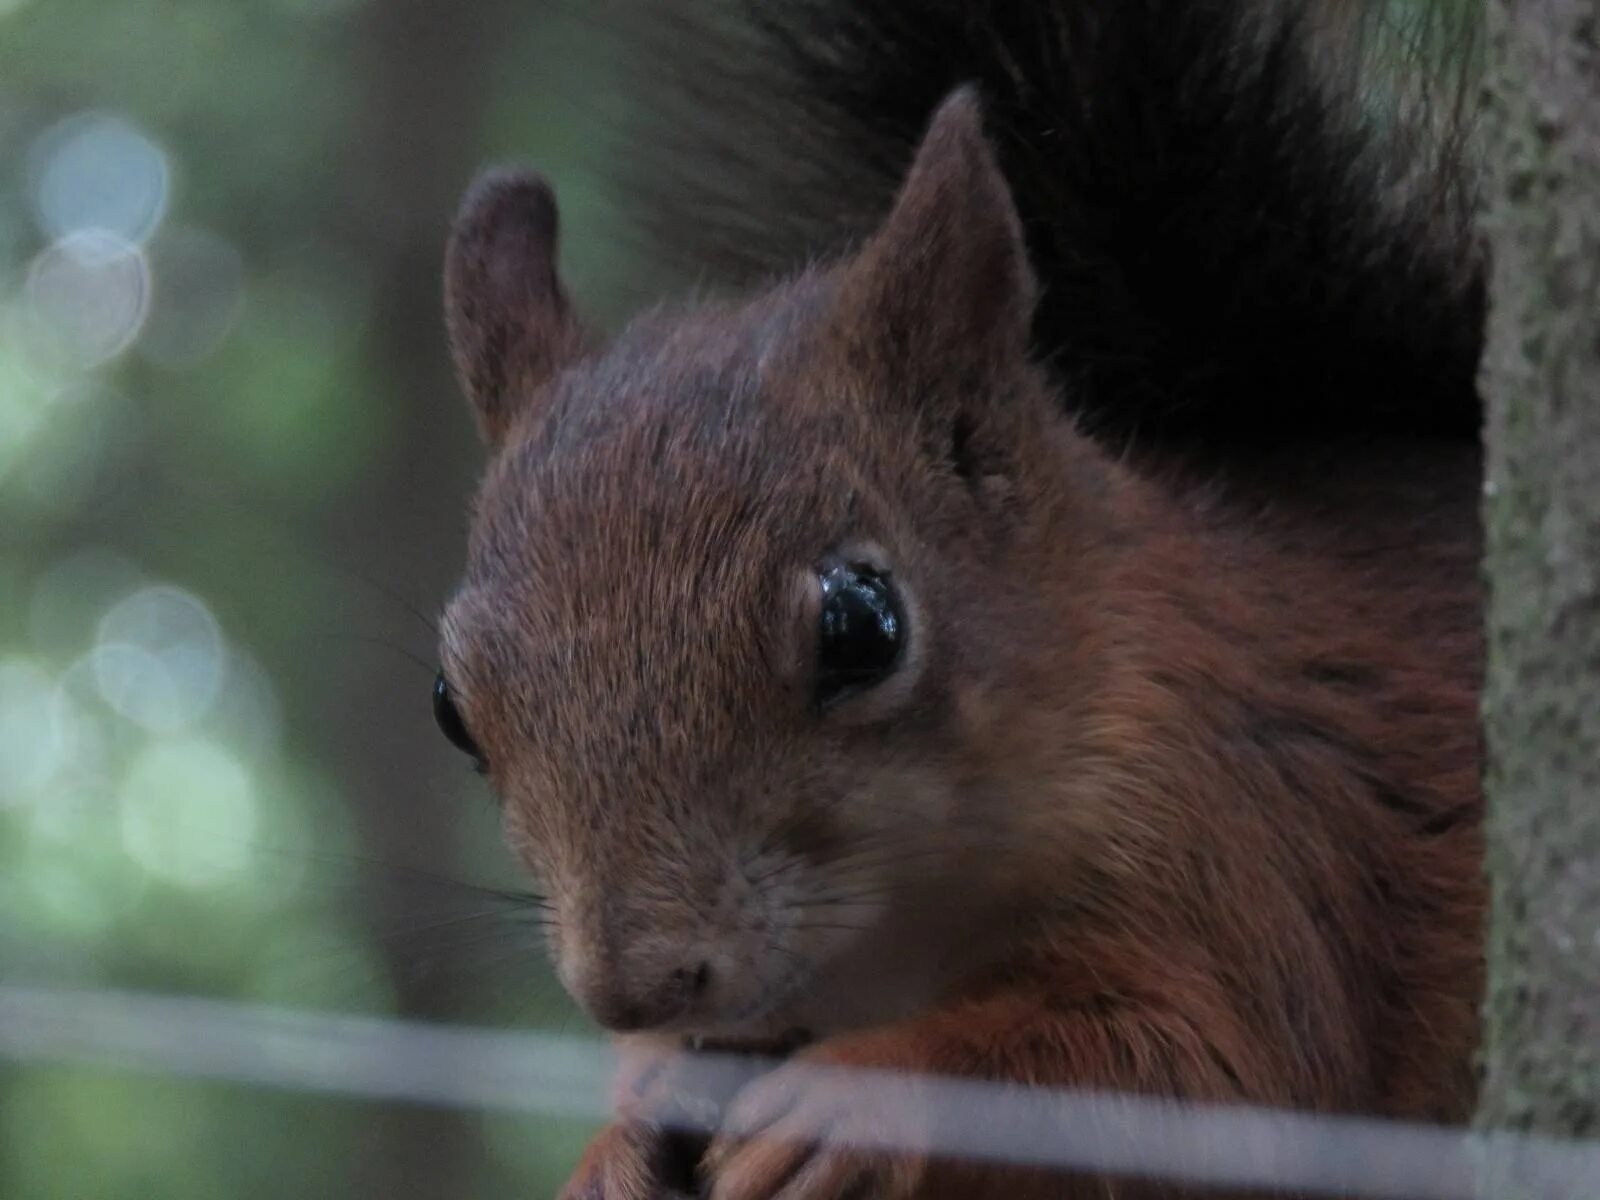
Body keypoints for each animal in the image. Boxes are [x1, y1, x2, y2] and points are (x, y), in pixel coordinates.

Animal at [432, 0, 1478, 1196]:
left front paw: (852, 1102)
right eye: (450, 706)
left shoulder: (1256, 835)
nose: (633, 989)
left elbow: (1204, 1071)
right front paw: (617, 1144)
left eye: (863, 628)